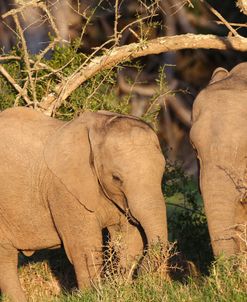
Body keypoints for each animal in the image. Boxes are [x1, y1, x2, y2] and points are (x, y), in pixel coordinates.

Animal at [0, 107, 168, 300]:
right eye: (116, 178)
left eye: (162, 172)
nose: (140, 277)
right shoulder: (65, 190)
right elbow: (85, 248)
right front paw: (94, 295)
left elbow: (129, 240)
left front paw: (121, 287)